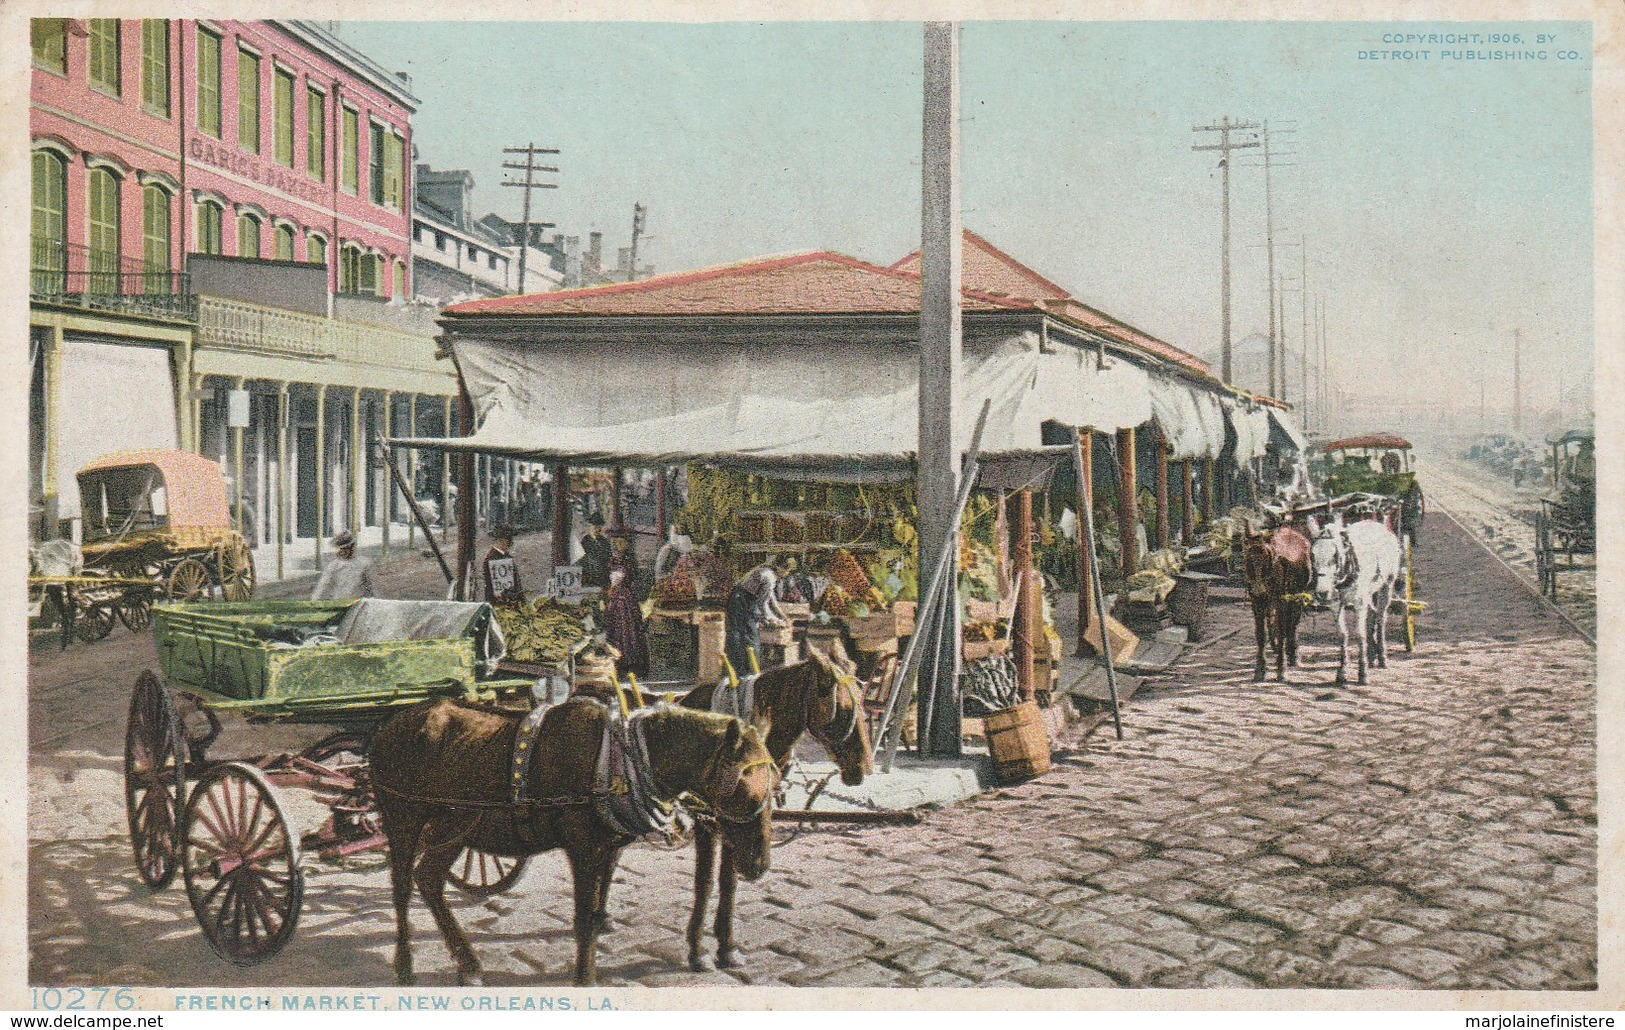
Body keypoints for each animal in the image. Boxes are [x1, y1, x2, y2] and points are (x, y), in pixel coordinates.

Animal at [1306, 519, 1397, 682]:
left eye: (1335, 555)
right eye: (1312, 554)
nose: (1322, 592)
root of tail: (1376, 523)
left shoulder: (1359, 603)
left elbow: (1360, 635)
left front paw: (1362, 672)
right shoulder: (1336, 605)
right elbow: (1343, 635)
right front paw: (1342, 671)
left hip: (1387, 585)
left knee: (1381, 619)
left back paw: (1382, 657)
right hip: (1370, 592)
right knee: (1371, 617)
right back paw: (1372, 654)